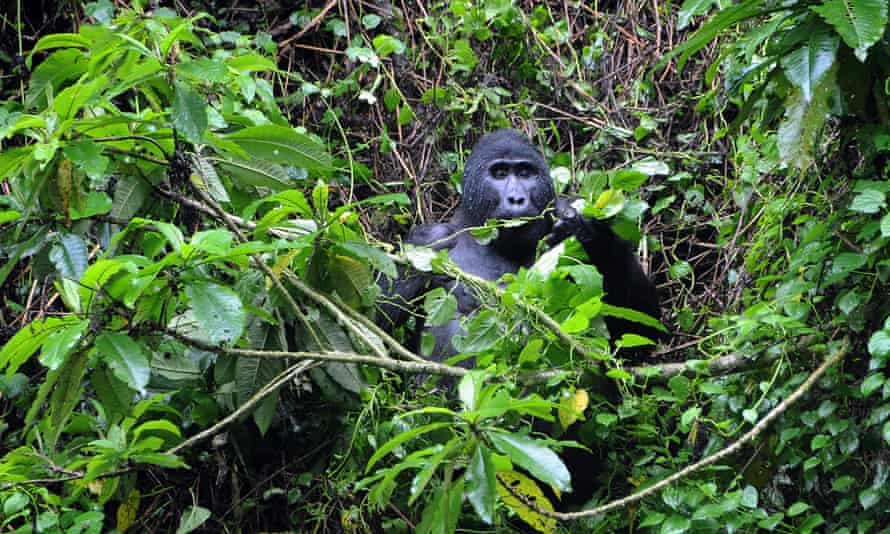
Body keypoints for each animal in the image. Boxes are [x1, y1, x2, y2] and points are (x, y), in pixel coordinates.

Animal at [374, 128, 660, 360]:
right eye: (499, 173)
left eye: (525, 173)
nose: (516, 199)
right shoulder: (426, 242)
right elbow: (377, 319)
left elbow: (640, 328)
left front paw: (587, 234)